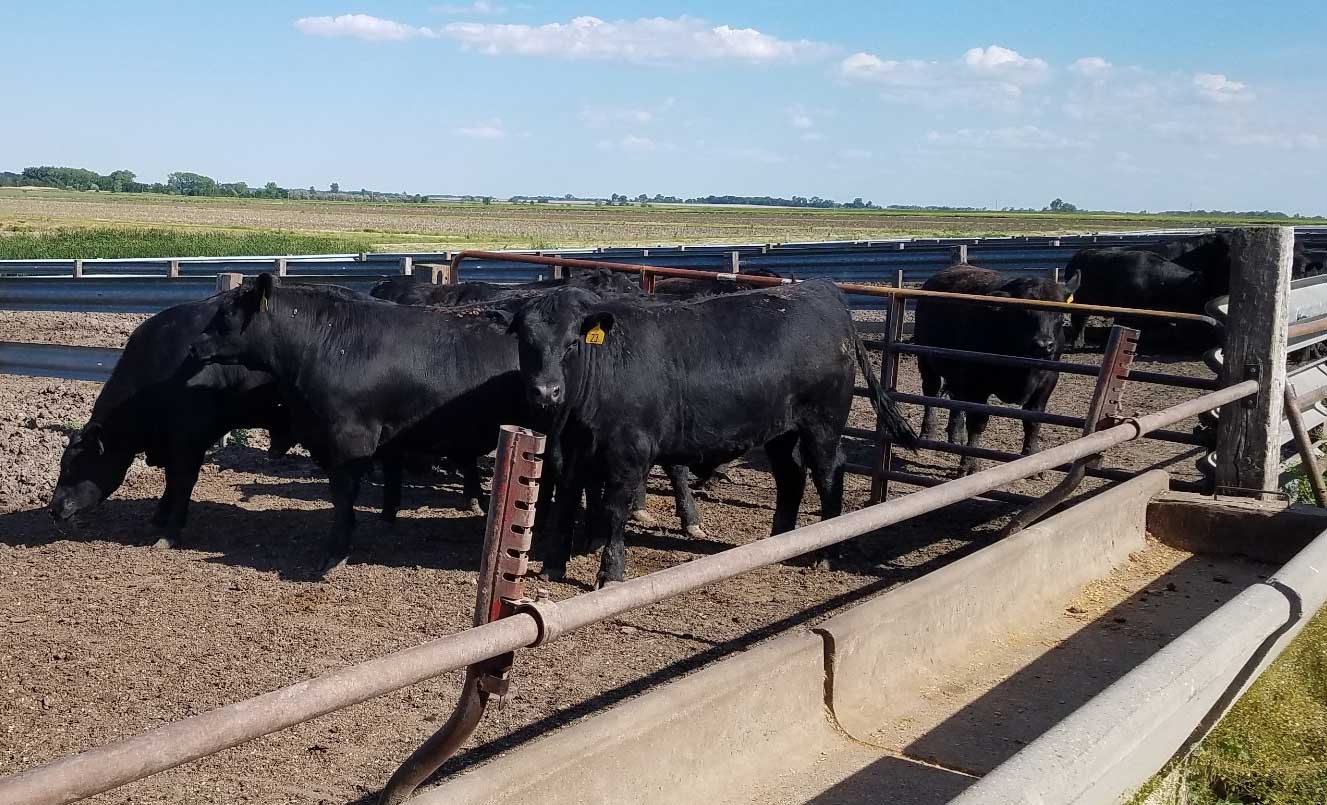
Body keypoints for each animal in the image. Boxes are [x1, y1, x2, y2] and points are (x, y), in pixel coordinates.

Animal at [50, 295, 294, 549]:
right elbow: (170, 481)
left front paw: (169, 533)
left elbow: (182, 482)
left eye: (76, 466)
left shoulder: (190, 440)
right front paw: (158, 518)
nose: (53, 509)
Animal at [498, 278, 912, 586]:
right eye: (527, 341)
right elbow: (567, 498)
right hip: (781, 431)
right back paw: (780, 540)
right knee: (790, 476)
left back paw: (826, 551)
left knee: (828, 472)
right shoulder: (572, 448)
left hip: (823, 424)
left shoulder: (629, 453)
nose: (546, 391)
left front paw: (610, 573)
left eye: (572, 342)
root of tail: (822, 290)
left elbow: (616, 510)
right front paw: (554, 564)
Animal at [918, 265, 1082, 477]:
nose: (1044, 345)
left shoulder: (1048, 381)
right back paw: (928, 433)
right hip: (926, 361)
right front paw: (969, 464)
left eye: (1060, 314)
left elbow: (1033, 420)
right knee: (930, 392)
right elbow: (977, 422)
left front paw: (1033, 459)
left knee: (956, 400)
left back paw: (956, 436)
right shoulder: (976, 383)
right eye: (1022, 312)